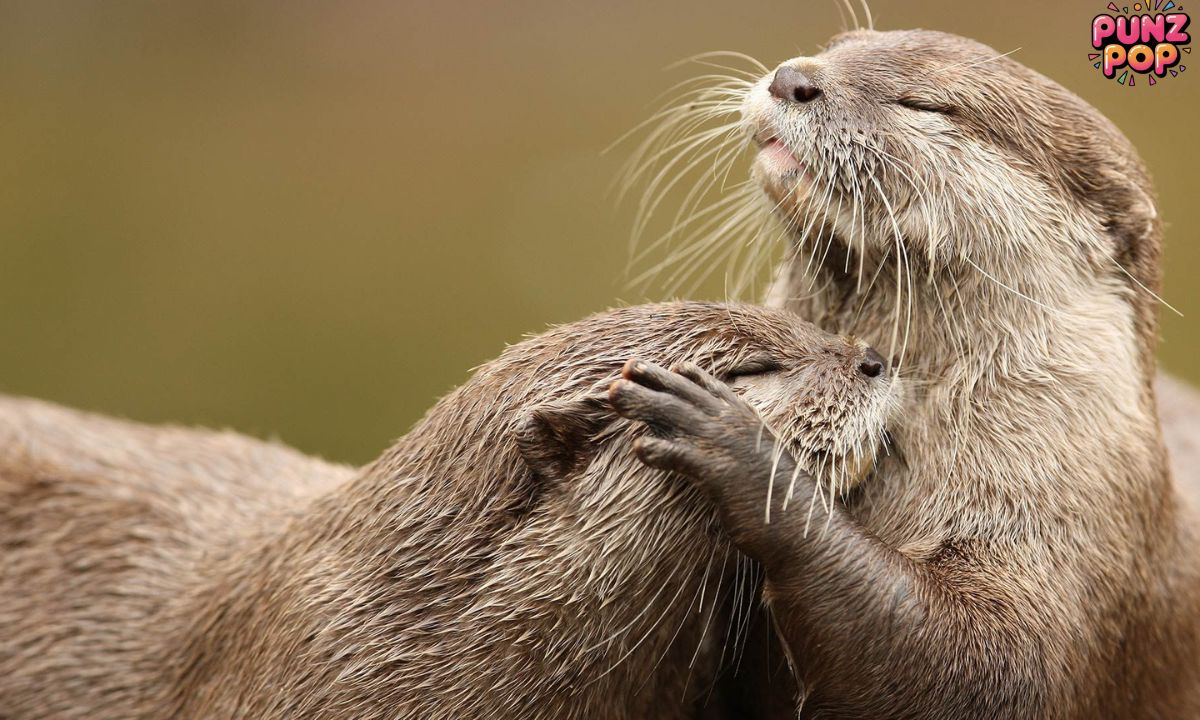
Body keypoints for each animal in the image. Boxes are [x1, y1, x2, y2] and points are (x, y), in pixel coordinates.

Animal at [628, 27, 1200, 718]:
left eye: (925, 104)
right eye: (838, 46)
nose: (793, 77)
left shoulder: (1074, 542)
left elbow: (983, 667)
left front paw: (743, 449)